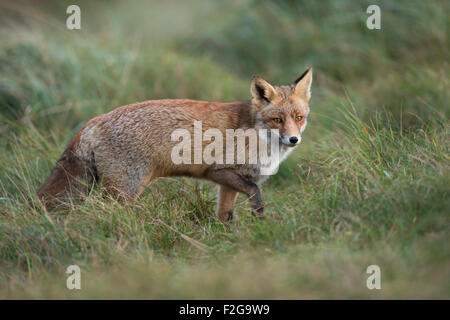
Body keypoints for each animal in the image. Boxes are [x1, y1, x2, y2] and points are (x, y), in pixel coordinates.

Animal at [37, 69, 312, 221]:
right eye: (277, 120)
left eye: (299, 118)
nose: (293, 139)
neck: (257, 135)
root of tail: (94, 120)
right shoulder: (220, 171)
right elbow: (256, 193)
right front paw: (259, 218)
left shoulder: (227, 183)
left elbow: (225, 216)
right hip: (125, 190)